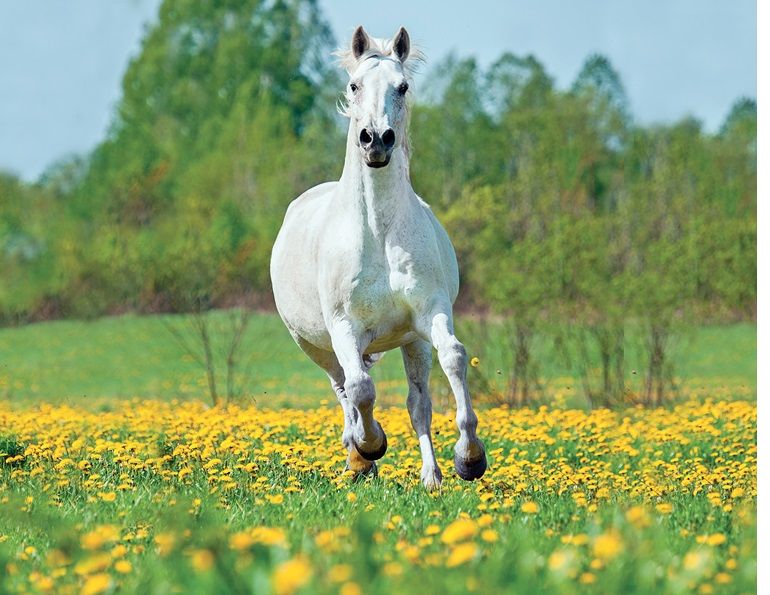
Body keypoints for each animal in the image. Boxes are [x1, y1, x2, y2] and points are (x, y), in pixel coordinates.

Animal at [270, 25, 487, 490]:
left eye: (401, 87)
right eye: (354, 85)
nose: (377, 140)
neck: (379, 232)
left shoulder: (429, 314)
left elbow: (454, 358)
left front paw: (469, 457)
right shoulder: (344, 327)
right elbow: (361, 389)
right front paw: (371, 446)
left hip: (409, 341)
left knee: (418, 402)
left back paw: (431, 477)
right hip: (314, 344)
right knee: (344, 389)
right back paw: (358, 459)